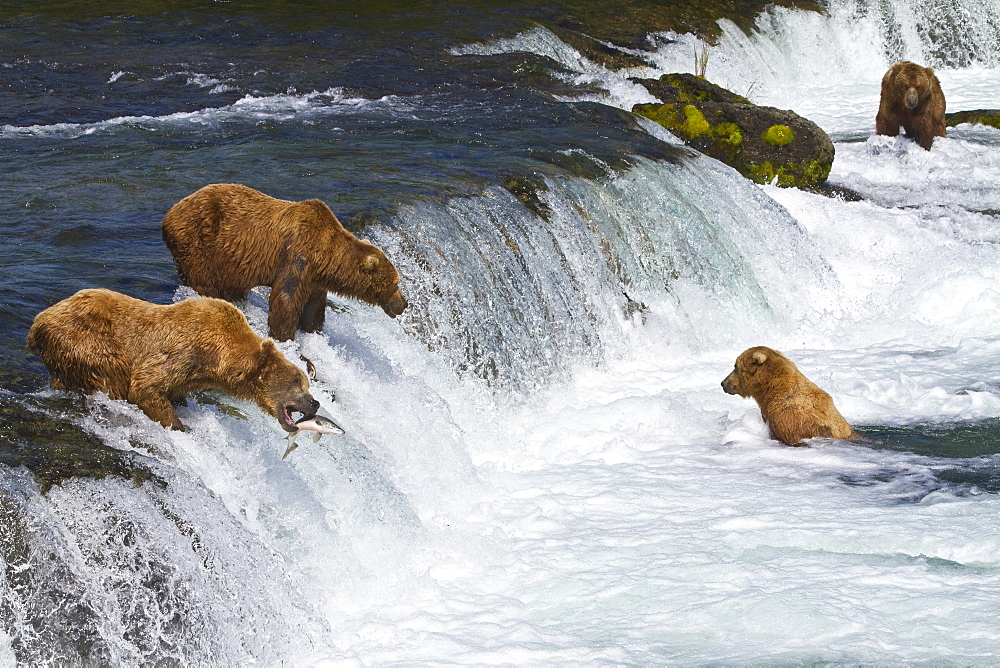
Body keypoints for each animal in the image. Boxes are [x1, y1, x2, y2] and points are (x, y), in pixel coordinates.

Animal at [27, 288, 318, 434]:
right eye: (298, 382)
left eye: (306, 384)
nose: (314, 402)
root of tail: (37, 322)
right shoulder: (185, 351)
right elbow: (145, 385)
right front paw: (178, 426)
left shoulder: (190, 374)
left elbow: (173, 392)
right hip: (86, 337)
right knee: (112, 372)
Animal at [166, 183, 408, 342]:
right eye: (395, 283)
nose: (403, 304)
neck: (325, 257)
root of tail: (170, 212)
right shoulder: (298, 256)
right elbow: (286, 299)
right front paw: (285, 336)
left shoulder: (314, 277)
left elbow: (313, 308)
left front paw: (311, 329)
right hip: (199, 243)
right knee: (203, 279)